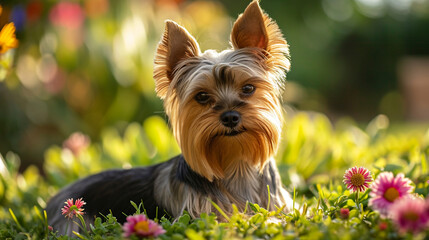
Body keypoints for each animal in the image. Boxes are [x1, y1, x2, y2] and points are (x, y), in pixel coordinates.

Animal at [46, 0, 290, 234]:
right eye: (202, 96)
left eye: (248, 88)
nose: (230, 117)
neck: (236, 164)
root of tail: (55, 199)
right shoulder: (199, 217)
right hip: (73, 221)